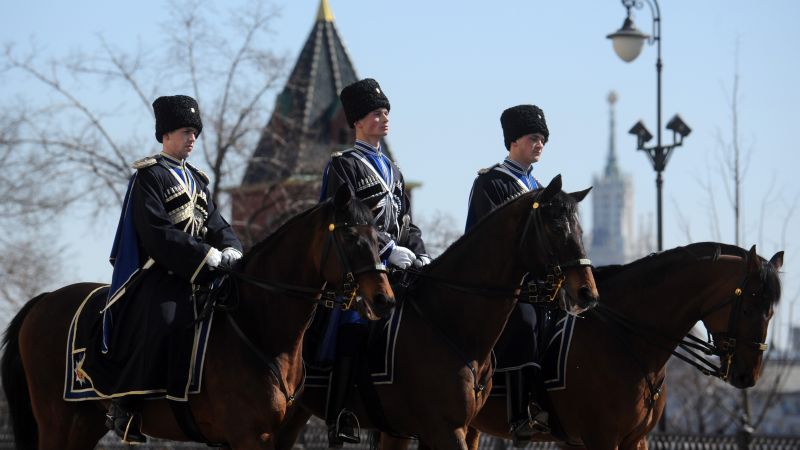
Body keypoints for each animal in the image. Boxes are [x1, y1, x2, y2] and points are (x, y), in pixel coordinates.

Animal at [1, 185, 396, 448]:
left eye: (379, 238)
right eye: (351, 238)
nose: (384, 300)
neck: (258, 328)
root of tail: (45, 300)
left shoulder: (272, 436)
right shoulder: (249, 435)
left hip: (84, 423)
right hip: (57, 421)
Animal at [272, 175, 596, 450]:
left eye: (581, 230)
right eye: (556, 228)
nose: (587, 293)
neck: (450, 321)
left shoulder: (450, 430)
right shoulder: (444, 429)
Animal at [382, 243, 780, 450]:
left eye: (772, 310)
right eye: (749, 306)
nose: (748, 375)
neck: (626, 337)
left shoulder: (632, 440)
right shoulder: (600, 438)